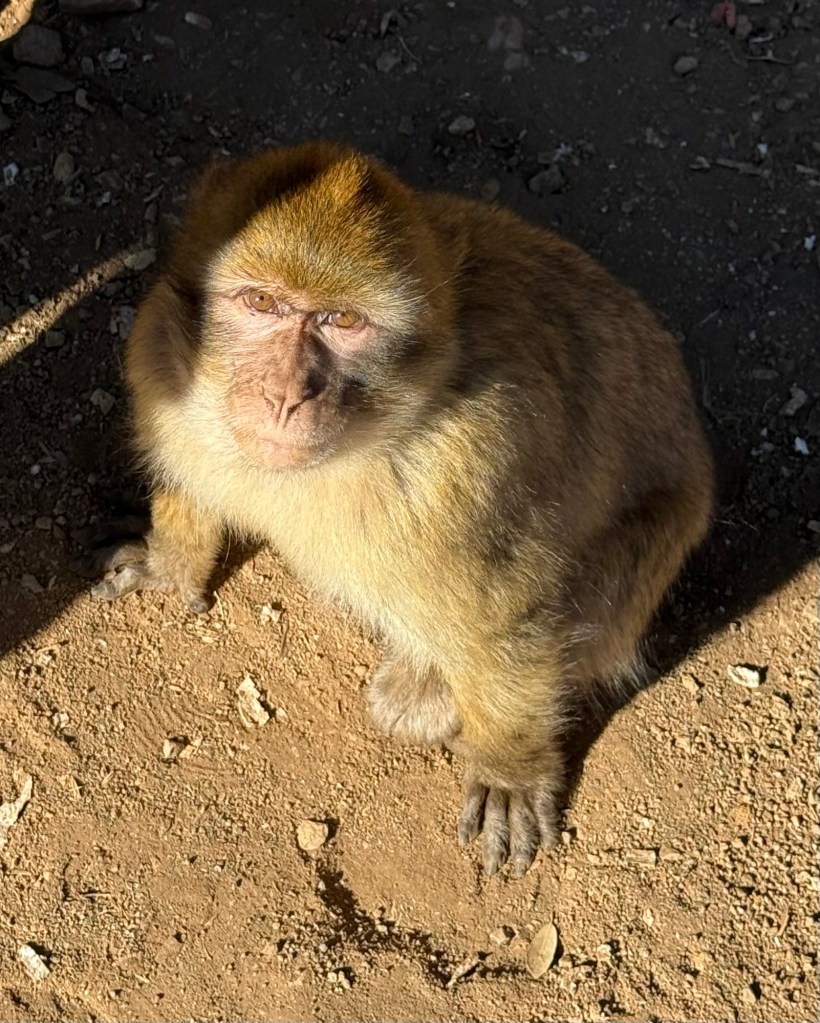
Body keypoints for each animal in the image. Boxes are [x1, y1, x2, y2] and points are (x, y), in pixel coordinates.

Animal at [84, 140, 714, 877]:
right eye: (262, 302)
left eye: (344, 321)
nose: (286, 394)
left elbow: (517, 611)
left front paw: (509, 769)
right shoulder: (161, 363)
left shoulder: (470, 464)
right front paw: (169, 561)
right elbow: (192, 484)